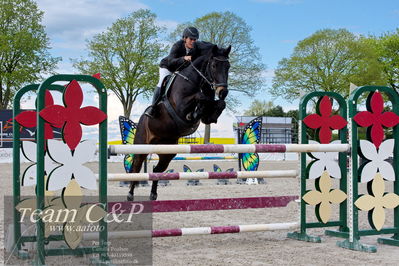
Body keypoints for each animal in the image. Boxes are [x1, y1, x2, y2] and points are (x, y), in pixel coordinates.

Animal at [128, 44, 233, 201]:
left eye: (228, 66)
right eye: (214, 65)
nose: (223, 92)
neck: (197, 80)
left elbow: (219, 104)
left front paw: (209, 115)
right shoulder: (181, 105)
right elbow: (200, 97)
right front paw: (195, 112)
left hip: (168, 151)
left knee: (158, 169)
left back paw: (153, 194)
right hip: (141, 145)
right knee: (136, 166)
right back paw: (130, 194)